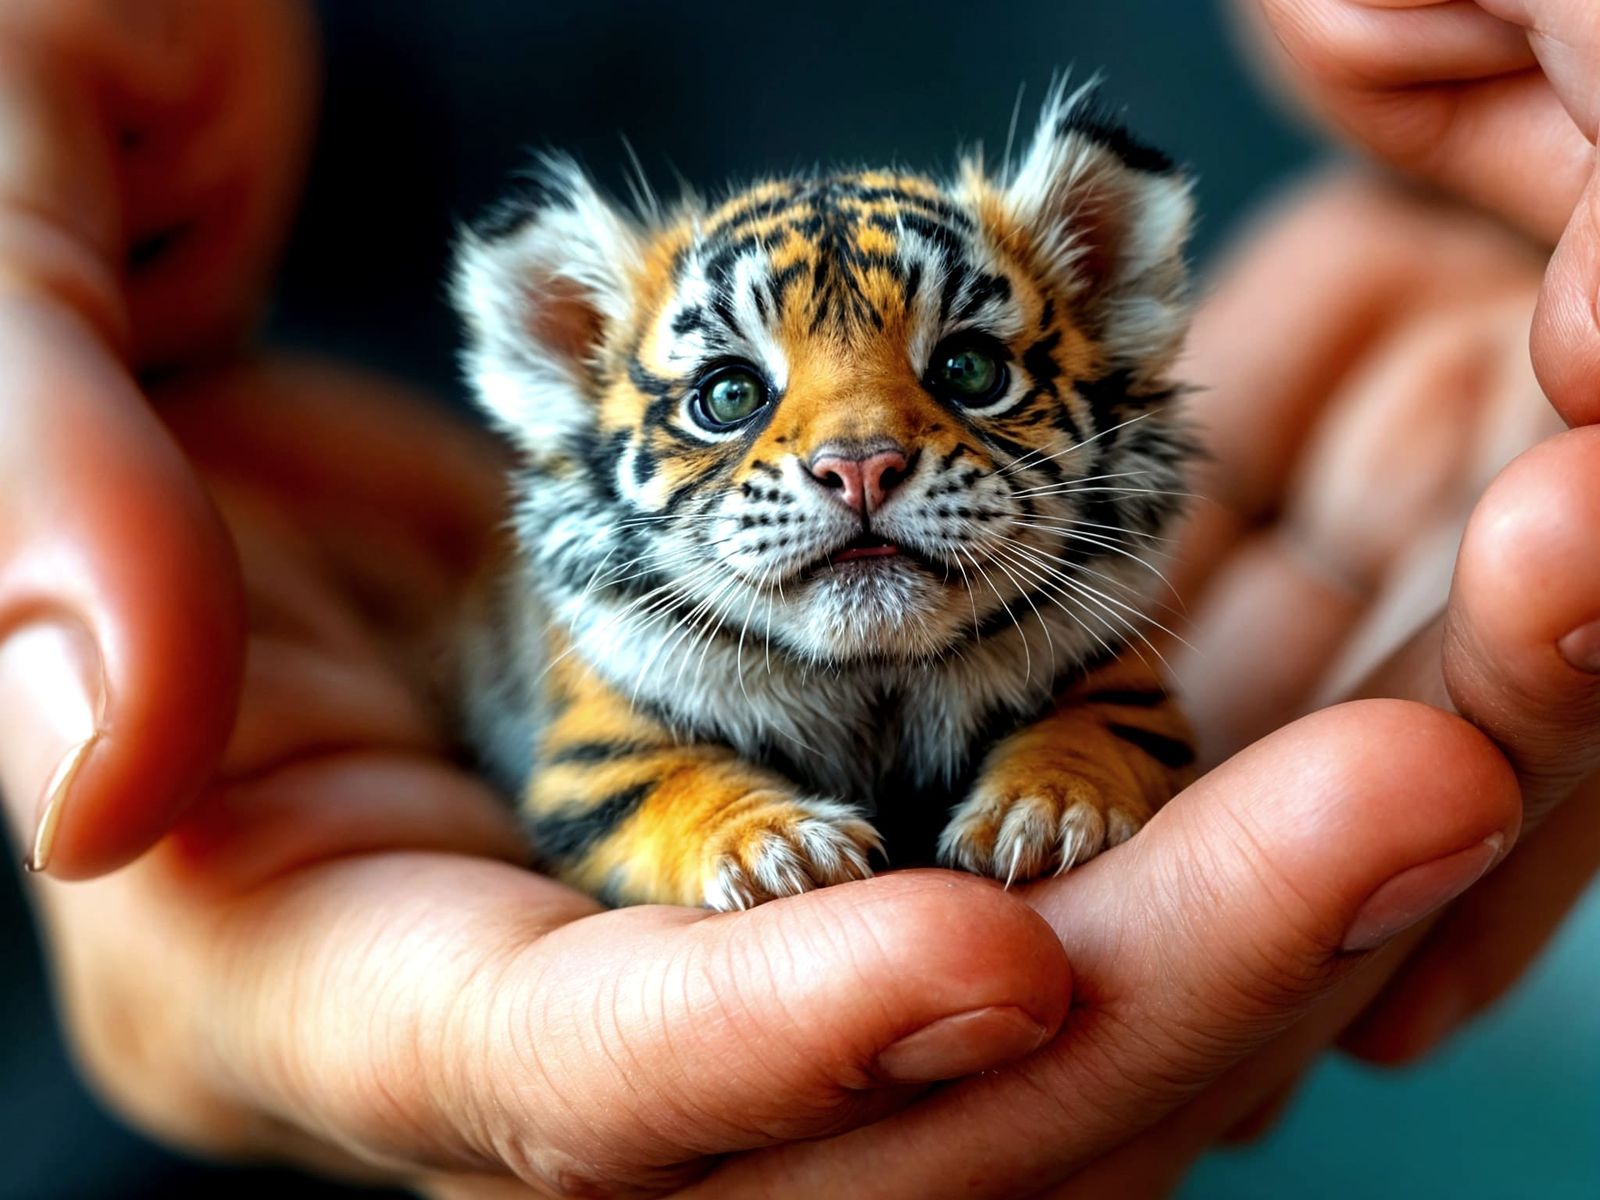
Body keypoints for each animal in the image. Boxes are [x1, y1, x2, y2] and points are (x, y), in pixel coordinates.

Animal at [450, 84, 1199, 910]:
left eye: (969, 369)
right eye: (730, 395)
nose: (861, 468)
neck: (873, 683)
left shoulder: (1126, 689)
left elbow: (1093, 727)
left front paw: (1047, 808)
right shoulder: (595, 752)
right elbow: (674, 782)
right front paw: (777, 847)